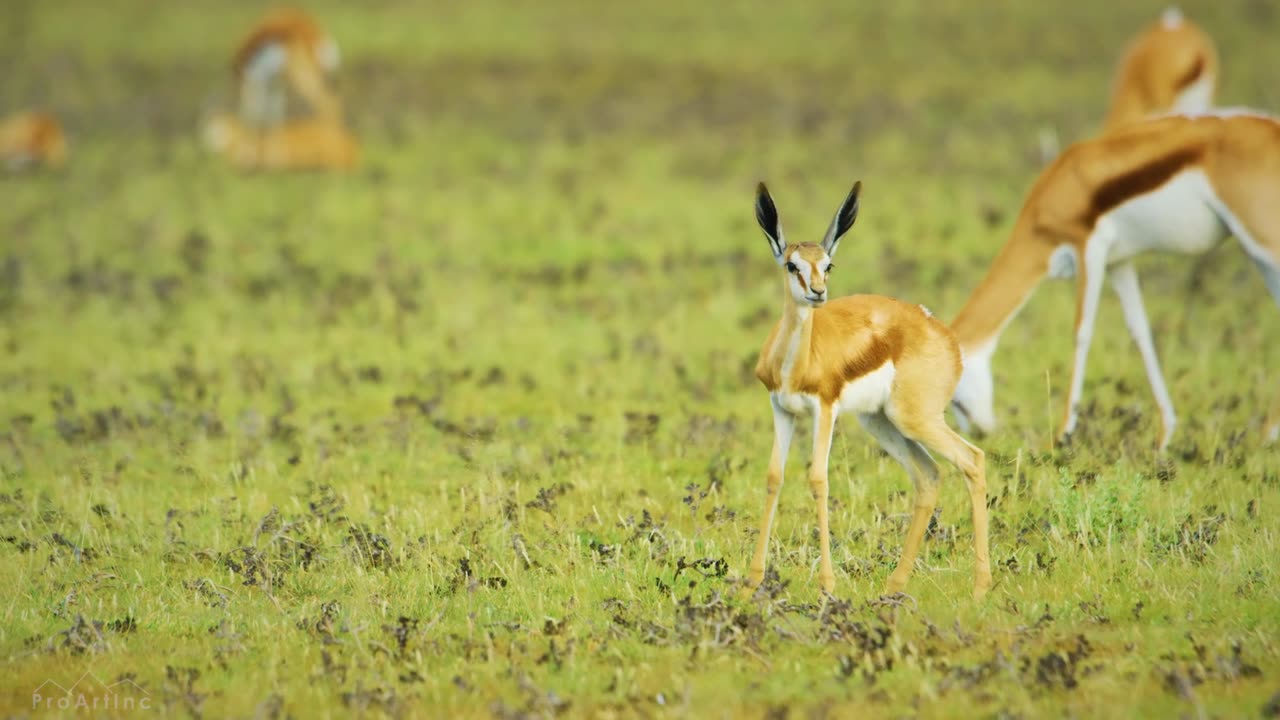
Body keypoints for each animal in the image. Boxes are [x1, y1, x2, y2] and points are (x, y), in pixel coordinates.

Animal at [742, 180, 988, 599]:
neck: (796, 364)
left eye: (827, 265)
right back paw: (895, 585)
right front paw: (751, 583)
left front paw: (827, 586)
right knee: (929, 475)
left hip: (915, 420)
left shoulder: (824, 409)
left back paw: (980, 587)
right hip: (880, 422)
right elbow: (774, 477)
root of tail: (936, 327)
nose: (818, 292)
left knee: (972, 460)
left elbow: (818, 480)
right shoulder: (782, 409)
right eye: (793, 265)